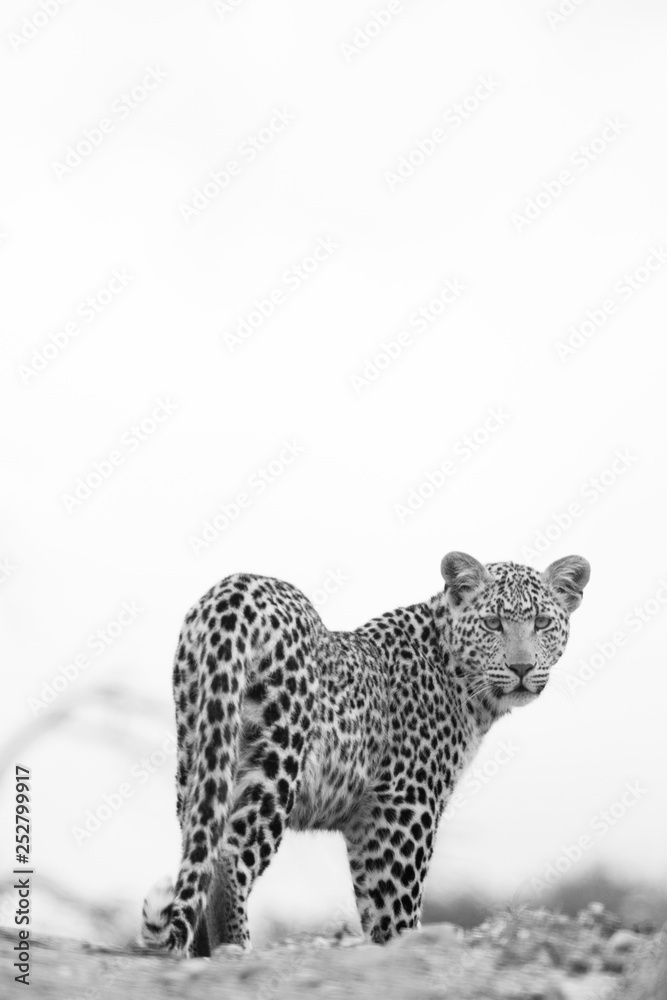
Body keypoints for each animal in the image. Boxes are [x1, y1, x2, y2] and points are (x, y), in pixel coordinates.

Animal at [141, 550, 590, 956]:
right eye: (493, 623)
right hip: (277, 757)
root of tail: (237, 588)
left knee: (199, 854)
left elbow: (374, 907)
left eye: (542, 623)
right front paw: (407, 949)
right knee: (229, 858)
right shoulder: (406, 807)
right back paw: (234, 950)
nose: (521, 668)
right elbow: (399, 905)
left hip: (200, 749)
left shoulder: (365, 824)